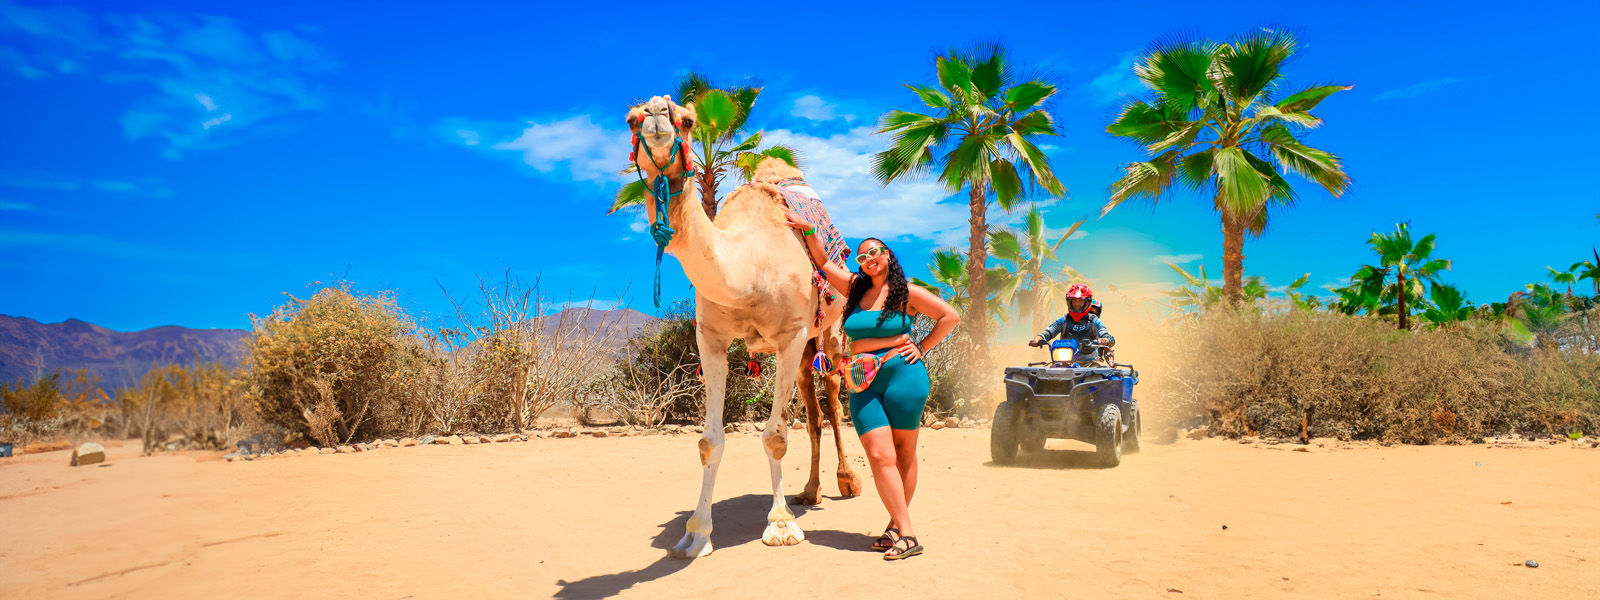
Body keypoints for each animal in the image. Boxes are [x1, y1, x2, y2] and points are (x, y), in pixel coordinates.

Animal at [627, 94, 864, 560]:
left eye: (688, 120)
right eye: (631, 118)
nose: (657, 116)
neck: (751, 265)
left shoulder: (791, 336)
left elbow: (775, 435)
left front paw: (781, 526)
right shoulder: (711, 337)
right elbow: (709, 442)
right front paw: (696, 534)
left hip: (826, 333)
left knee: (832, 400)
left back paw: (846, 482)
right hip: (805, 351)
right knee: (813, 413)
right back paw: (808, 491)